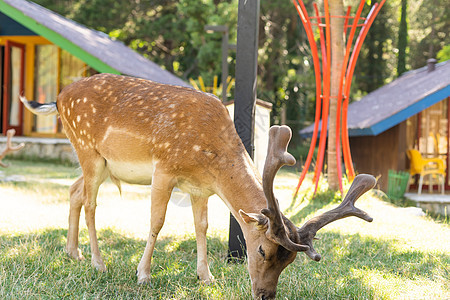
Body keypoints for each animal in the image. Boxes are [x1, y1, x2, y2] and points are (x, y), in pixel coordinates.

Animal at [21, 73, 376, 300]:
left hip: (98, 161)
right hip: (88, 150)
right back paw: (98, 262)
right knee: (91, 202)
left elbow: (201, 226)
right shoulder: (164, 168)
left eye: (288, 261)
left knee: (74, 191)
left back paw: (73, 252)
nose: (265, 295)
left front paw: (206, 276)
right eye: (263, 250)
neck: (210, 158)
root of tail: (58, 96)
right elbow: (157, 221)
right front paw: (143, 275)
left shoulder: (200, 188)